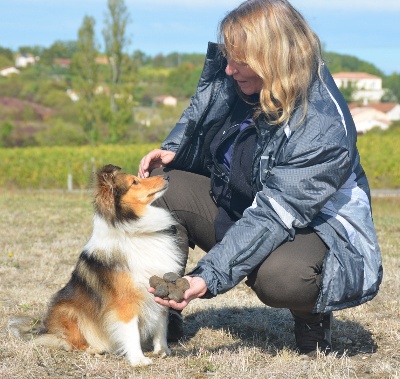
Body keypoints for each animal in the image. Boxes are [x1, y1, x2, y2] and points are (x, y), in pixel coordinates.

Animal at [9, 165, 184, 366]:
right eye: (134, 182)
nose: (167, 177)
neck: (132, 231)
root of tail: (45, 329)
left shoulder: (157, 289)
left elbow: (161, 325)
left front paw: (163, 350)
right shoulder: (125, 302)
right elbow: (130, 331)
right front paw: (138, 360)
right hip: (68, 311)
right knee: (71, 343)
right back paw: (94, 349)